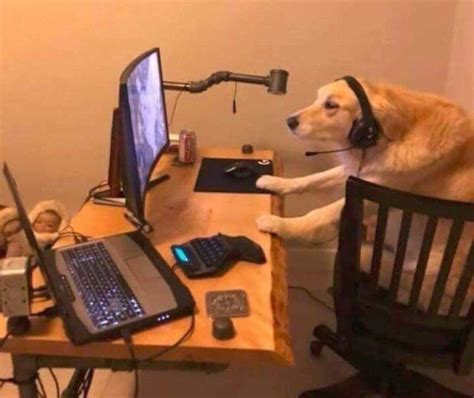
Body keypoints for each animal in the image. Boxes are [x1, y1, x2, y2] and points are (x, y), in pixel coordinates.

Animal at [256, 77, 474, 314]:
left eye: (331, 105)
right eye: (318, 99)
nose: (289, 121)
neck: (392, 138)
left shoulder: (374, 191)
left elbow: (320, 214)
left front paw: (280, 224)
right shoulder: (359, 173)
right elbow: (312, 179)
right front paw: (275, 182)